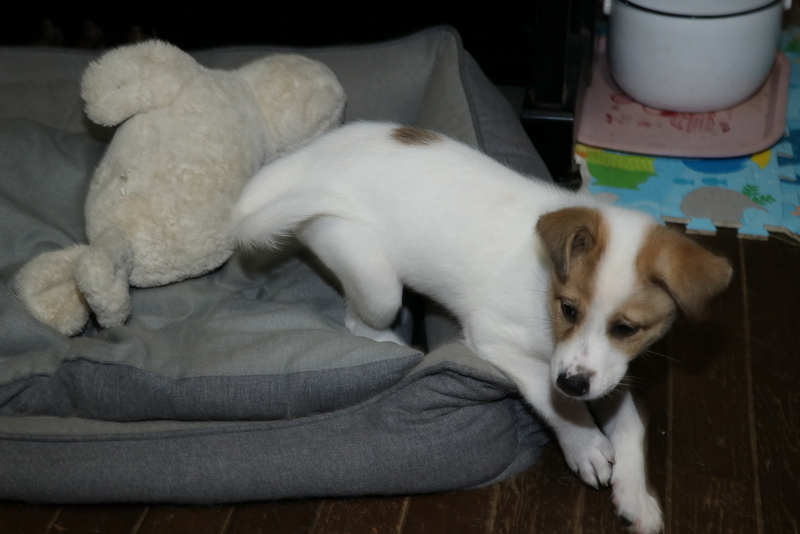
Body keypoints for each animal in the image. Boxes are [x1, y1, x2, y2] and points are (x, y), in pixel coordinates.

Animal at [233, 122, 732, 533]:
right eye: (568, 309)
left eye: (627, 329)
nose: (572, 385)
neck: (544, 290)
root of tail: (301, 160)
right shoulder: (499, 341)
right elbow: (552, 403)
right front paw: (584, 443)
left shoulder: (604, 373)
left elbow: (630, 426)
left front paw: (637, 496)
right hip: (375, 283)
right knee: (357, 318)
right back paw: (398, 345)